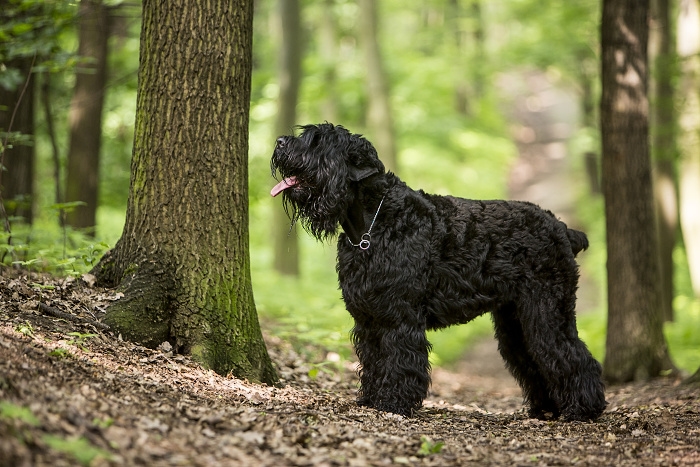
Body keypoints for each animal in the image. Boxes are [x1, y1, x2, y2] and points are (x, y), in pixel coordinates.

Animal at [272, 122, 608, 422]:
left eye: (318, 141)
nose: (279, 142)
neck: (371, 225)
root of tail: (562, 228)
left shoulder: (399, 317)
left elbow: (399, 360)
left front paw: (393, 403)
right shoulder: (368, 318)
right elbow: (374, 360)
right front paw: (370, 398)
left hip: (547, 310)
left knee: (570, 354)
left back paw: (583, 410)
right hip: (516, 321)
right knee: (533, 359)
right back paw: (546, 409)